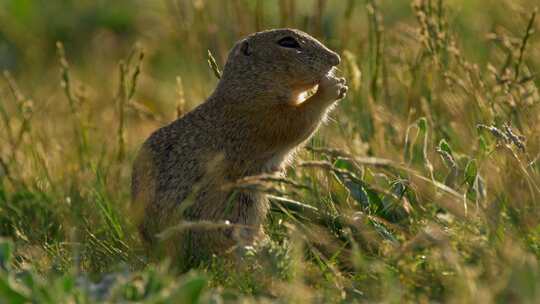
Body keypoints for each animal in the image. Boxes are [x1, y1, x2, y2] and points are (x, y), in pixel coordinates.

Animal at [133, 27, 348, 266]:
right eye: (288, 42)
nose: (335, 59)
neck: (248, 88)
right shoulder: (262, 118)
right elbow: (297, 121)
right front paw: (331, 87)